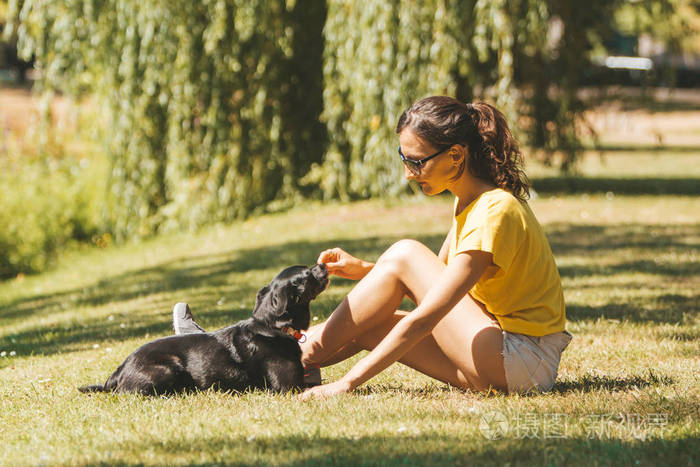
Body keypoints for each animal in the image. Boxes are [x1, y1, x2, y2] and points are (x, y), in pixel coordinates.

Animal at [78, 264, 330, 394]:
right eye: (307, 274)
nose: (323, 264)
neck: (271, 326)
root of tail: (119, 370)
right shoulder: (289, 386)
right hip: (167, 369)